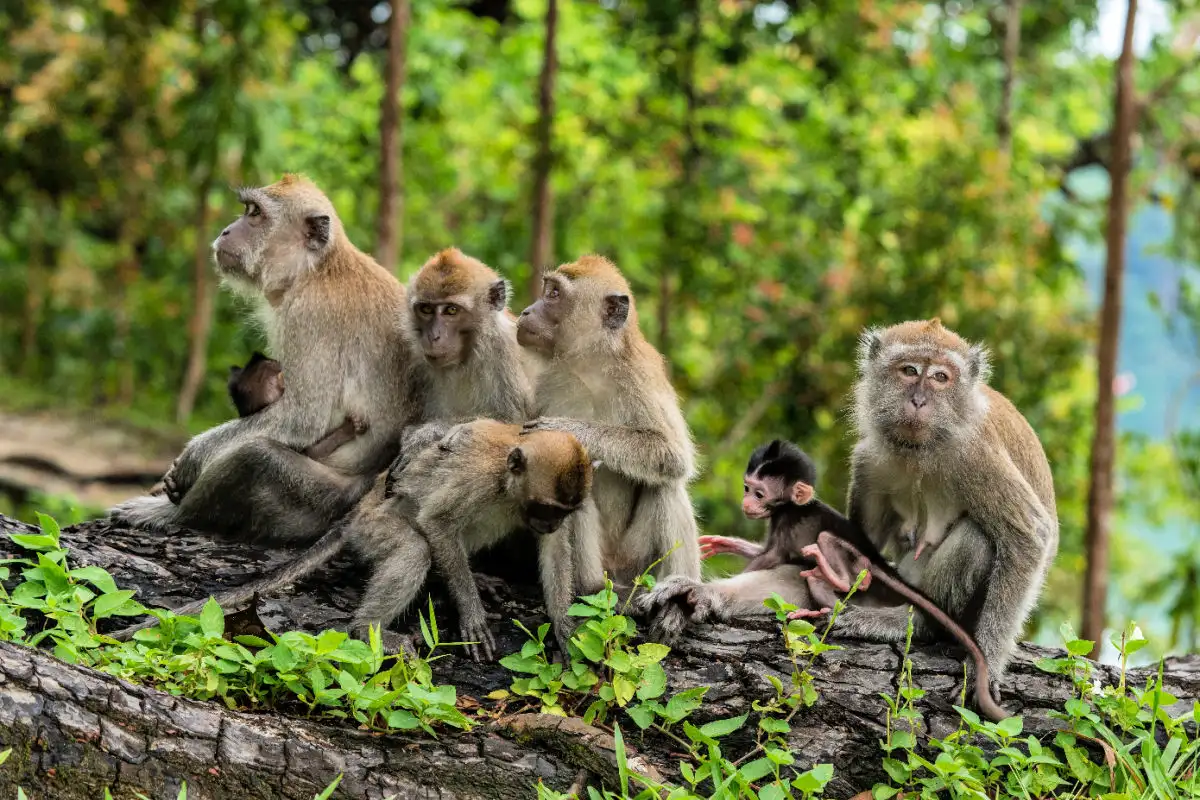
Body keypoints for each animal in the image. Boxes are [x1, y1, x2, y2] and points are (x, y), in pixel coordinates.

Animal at [516, 255, 701, 610]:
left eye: (554, 294)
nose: (526, 311)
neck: (591, 363)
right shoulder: (548, 384)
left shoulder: (642, 375)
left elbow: (672, 454)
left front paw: (569, 429)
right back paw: (590, 587)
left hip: (640, 562)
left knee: (666, 484)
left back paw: (679, 587)